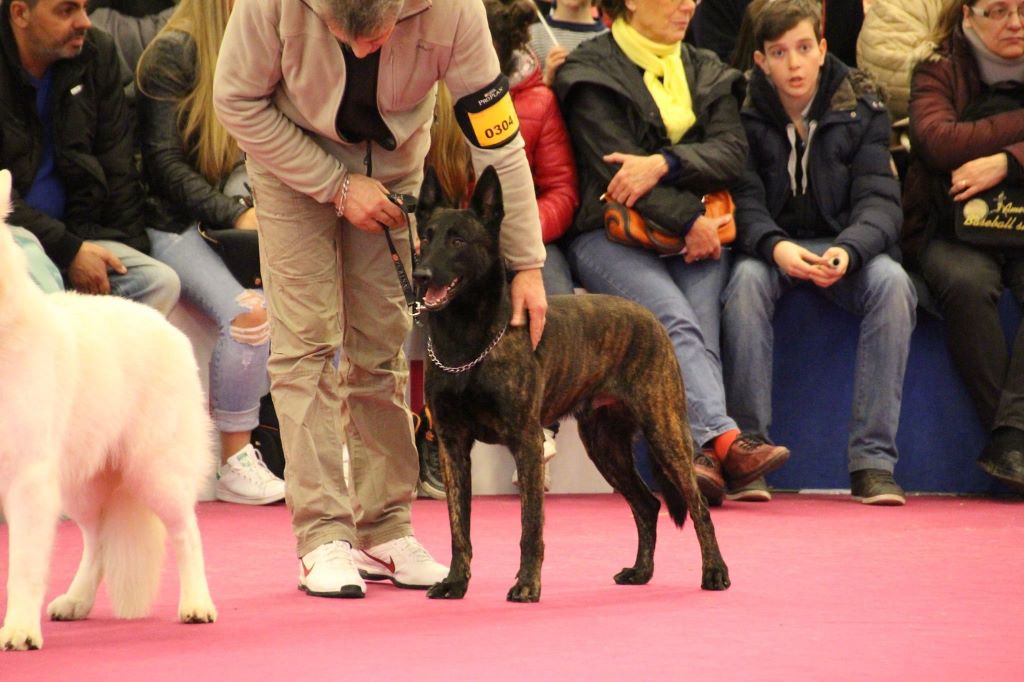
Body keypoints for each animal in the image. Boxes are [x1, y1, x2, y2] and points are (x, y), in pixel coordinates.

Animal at [0, 169, 216, 647]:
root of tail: (165, 324)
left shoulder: (28, 479)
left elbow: (23, 568)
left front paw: (20, 631)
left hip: (155, 473)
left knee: (187, 532)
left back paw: (197, 604)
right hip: (82, 485)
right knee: (97, 541)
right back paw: (76, 601)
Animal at [413, 164, 729, 602]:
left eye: (458, 240)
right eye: (426, 237)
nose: (420, 275)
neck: (467, 339)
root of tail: (651, 317)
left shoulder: (526, 442)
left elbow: (530, 527)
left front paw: (527, 584)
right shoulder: (452, 445)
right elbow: (459, 527)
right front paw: (456, 581)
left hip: (665, 432)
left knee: (697, 506)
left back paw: (714, 571)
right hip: (604, 444)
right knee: (647, 505)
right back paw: (640, 571)